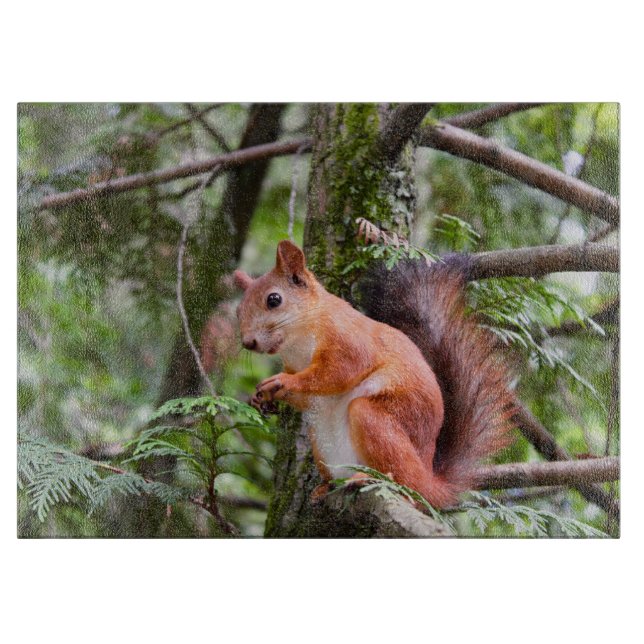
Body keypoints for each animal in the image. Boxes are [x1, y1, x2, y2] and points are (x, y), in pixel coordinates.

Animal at [233, 240, 516, 509]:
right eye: (238, 310)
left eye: (274, 300)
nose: (248, 343)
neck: (299, 341)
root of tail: (429, 481)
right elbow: (308, 397)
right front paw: (262, 398)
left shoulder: (350, 341)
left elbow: (337, 372)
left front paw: (284, 382)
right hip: (322, 440)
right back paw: (326, 487)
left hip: (379, 421)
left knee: (404, 481)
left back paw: (371, 478)